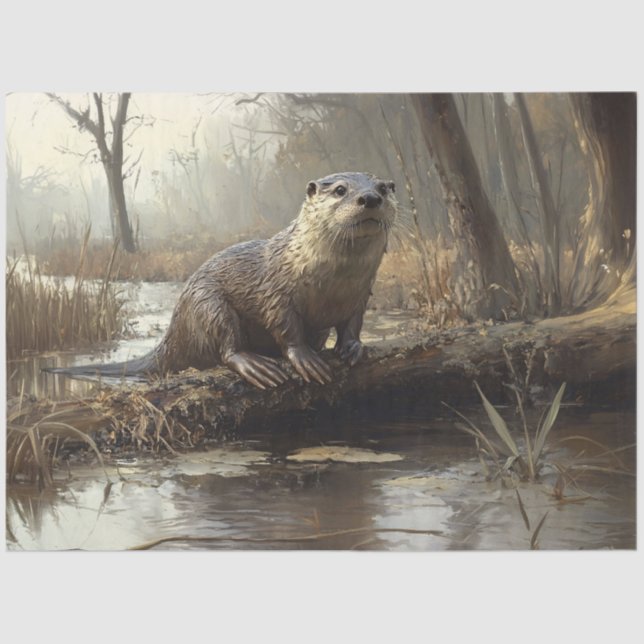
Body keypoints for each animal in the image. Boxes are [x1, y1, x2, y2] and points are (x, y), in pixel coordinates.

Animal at [50, 172, 397, 389]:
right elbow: (286, 328)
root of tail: (175, 328)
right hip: (207, 304)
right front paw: (305, 358)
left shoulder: (360, 294)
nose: (369, 198)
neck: (331, 285)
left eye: (383, 187)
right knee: (226, 349)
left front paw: (352, 347)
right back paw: (257, 365)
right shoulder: (276, 291)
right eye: (340, 190)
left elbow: (353, 324)